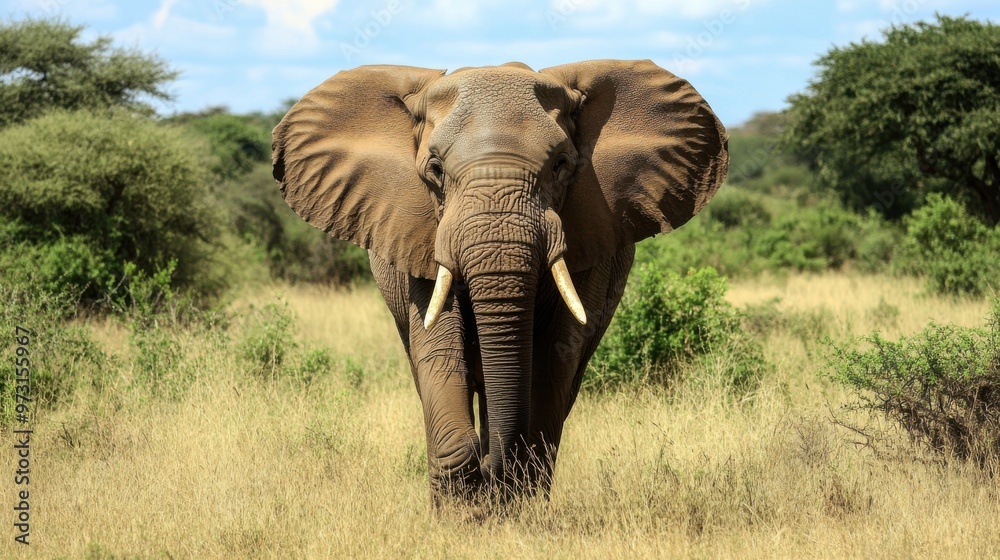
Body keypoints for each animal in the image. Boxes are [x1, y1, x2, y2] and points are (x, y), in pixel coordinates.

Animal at [271, 59, 728, 506]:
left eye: (561, 164)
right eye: (435, 170)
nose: (492, 471)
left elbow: (553, 356)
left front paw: (511, 501)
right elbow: (439, 349)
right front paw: (467, 508)